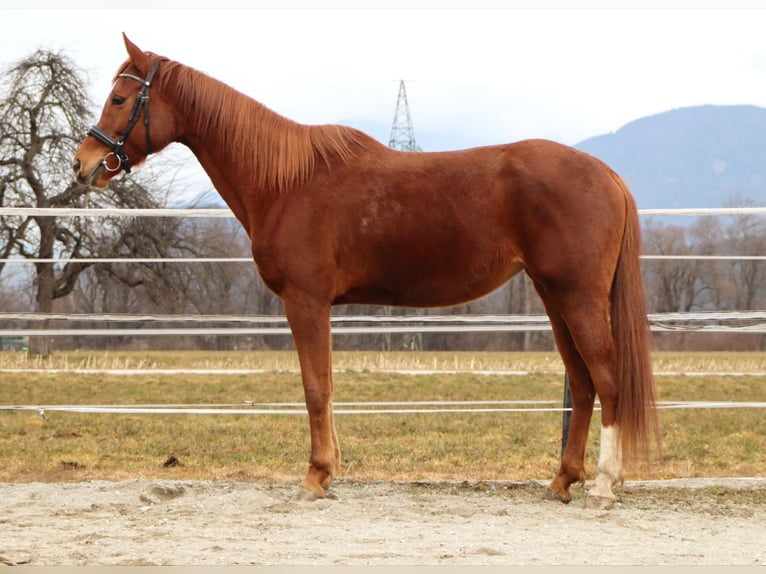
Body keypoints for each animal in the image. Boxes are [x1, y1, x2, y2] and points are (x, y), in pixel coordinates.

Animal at [73, 36, 660, 510]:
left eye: (120, 98)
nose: (84, 164)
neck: (286, 181)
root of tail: (607, 174)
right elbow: (328, 387)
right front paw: (328, 473)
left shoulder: (305, 301)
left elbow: (315, 388)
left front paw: (314, 478)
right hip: (553, 296)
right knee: (582, 383)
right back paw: (562, 482)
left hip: (577, 296)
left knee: (608, 379)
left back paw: (604, 487)